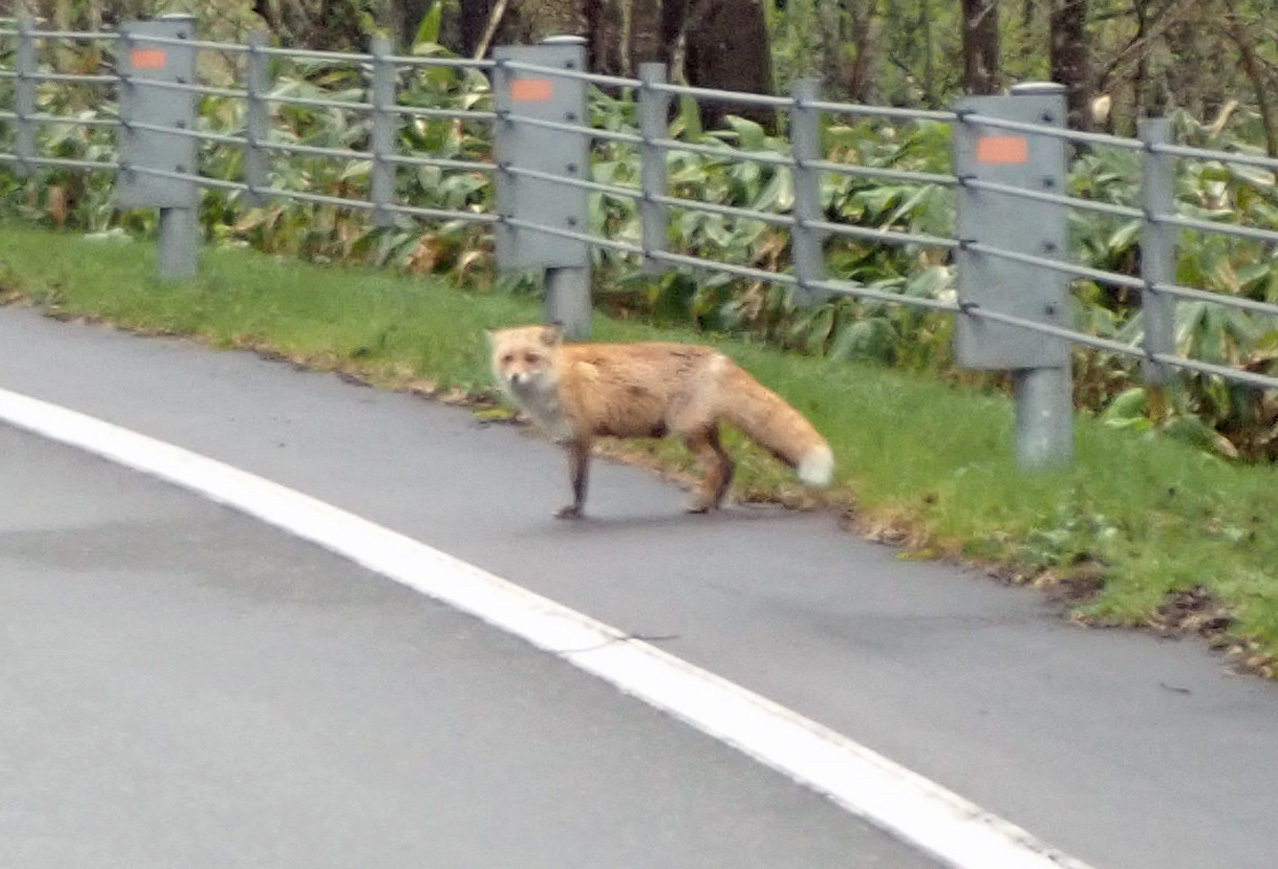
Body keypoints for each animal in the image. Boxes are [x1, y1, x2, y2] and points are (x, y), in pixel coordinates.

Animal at [483, 324, 833, 516]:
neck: (558, 378)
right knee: (730, 463)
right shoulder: (573, 440)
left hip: (687, 433)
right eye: (507, 359)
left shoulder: (582, 436)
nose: (514, 377)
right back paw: (714, 504)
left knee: (716, 465)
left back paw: (700, 504)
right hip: (705, 431)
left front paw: (576, 512)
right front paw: (574, 511)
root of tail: (720, 358)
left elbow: (578, 484)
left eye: (531, 358)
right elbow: (577, 483)